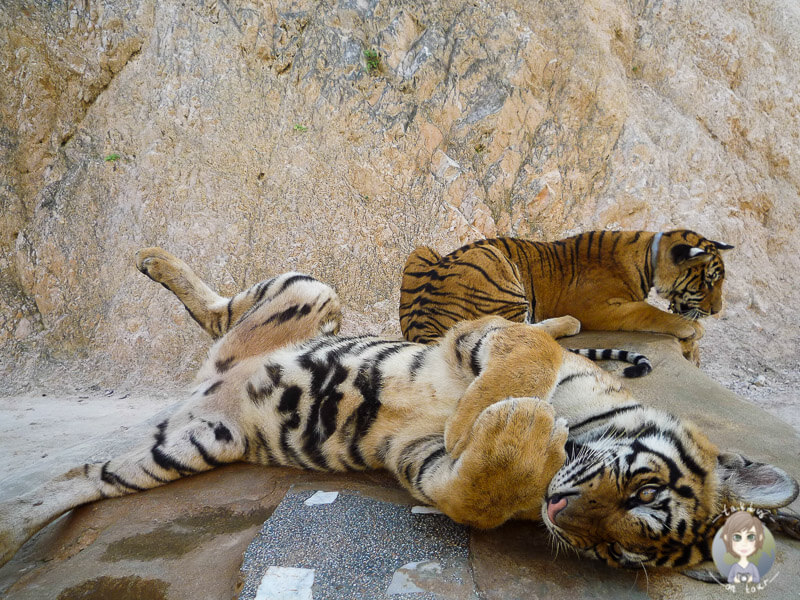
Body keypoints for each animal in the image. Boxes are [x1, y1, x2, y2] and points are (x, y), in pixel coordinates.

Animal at [0, 244, 792, 572]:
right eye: (643, 488)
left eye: (617, 550)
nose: (560, 513)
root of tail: (212, 378)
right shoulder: (485, 337)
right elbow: (523, 360)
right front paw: (509, 416)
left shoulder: (427, 467)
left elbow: (473, 491)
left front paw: (515, 434)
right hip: (309, 288)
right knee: (218, 308)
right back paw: (152, 259)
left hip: (192, 442)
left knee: (74, 478)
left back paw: (9, 530)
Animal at [398, 229, 732, 360]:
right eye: (709, 281)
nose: (717, 311)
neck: (649, 257)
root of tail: (422, 329)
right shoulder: (597, 308)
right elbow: (648, 311)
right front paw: (691, 328)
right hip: (491, 258)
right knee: (514, 331)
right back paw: (568, 323)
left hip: (421, 251)